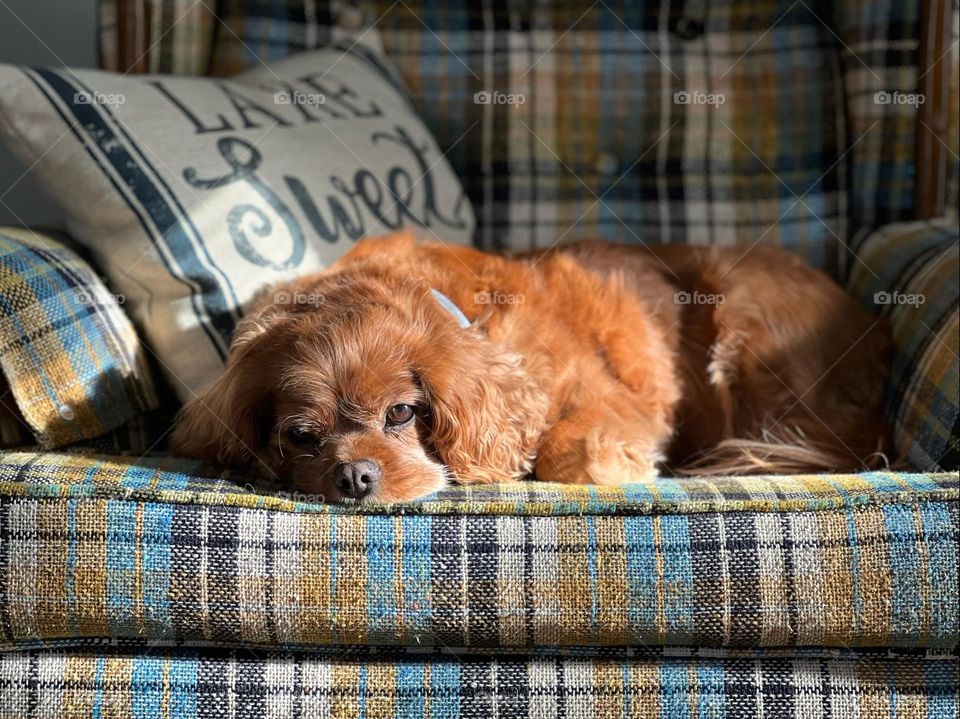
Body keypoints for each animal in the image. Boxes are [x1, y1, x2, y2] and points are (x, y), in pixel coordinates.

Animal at [167, 233, 892, 504]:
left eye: (401, 412)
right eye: (301, 437)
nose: (354, 478)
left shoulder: (609, 400)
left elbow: (571, 452)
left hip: (741, 314)